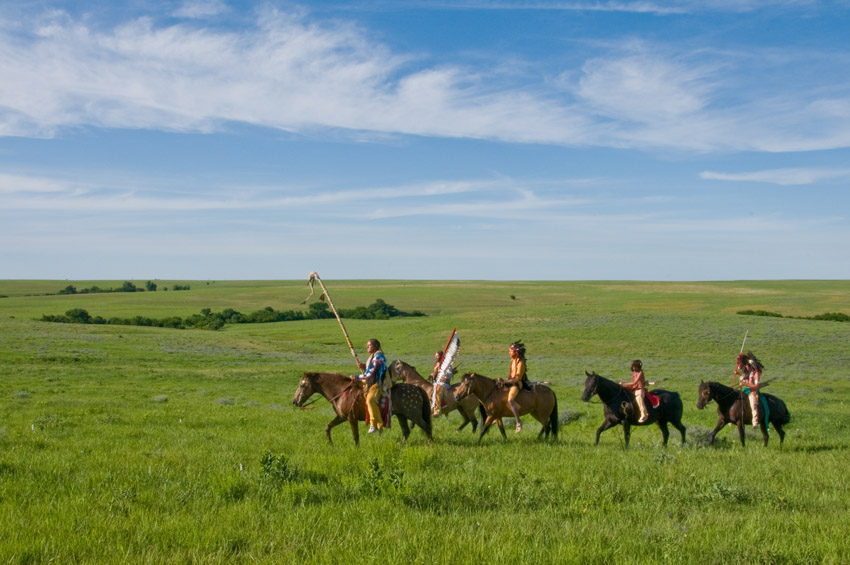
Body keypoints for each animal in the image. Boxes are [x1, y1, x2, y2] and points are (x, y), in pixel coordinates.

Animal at [294, 370, 438, 446]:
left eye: (302, 385)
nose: (295, 401)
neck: (341, 392)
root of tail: (418, 388)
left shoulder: (351, 419)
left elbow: (355, 435)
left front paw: (357, 449)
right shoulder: (341, 417)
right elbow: (328, 427)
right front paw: (330, 443)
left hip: (414, 414)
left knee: (426, 426)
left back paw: (431, 445)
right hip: (401, 415)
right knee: (406, 431)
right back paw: (401, 445)